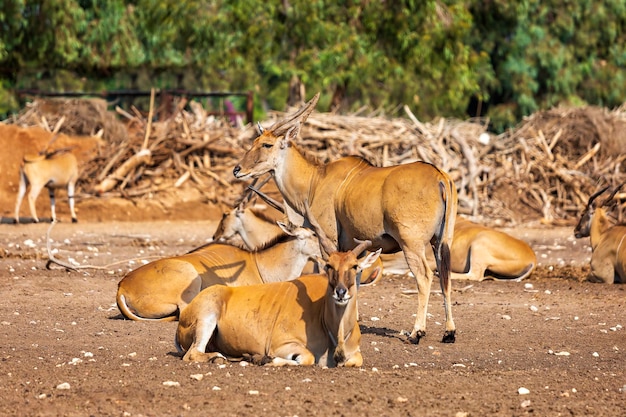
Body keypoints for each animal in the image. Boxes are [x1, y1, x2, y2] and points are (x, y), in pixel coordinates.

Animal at [174, 206, 380, 366]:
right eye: (329, 265)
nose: (340, 292)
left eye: (355, 266)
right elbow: (307, 358)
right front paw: (264, 358)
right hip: (207, 318)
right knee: (192, 354)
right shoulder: (282, 345)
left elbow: (356, 360)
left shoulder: (355, 356)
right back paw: (219, 358)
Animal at [232, 92, 456, 342]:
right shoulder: (357, 244)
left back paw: (417, 332)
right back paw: (449, 332)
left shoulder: (328, 238)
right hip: (441, 242)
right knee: (445, 276)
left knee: (425, 276)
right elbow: (354, 277)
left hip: (412, 244)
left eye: (266, 144)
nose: (237, 170)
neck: (315, 180)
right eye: (253, 143)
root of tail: (440, 177)